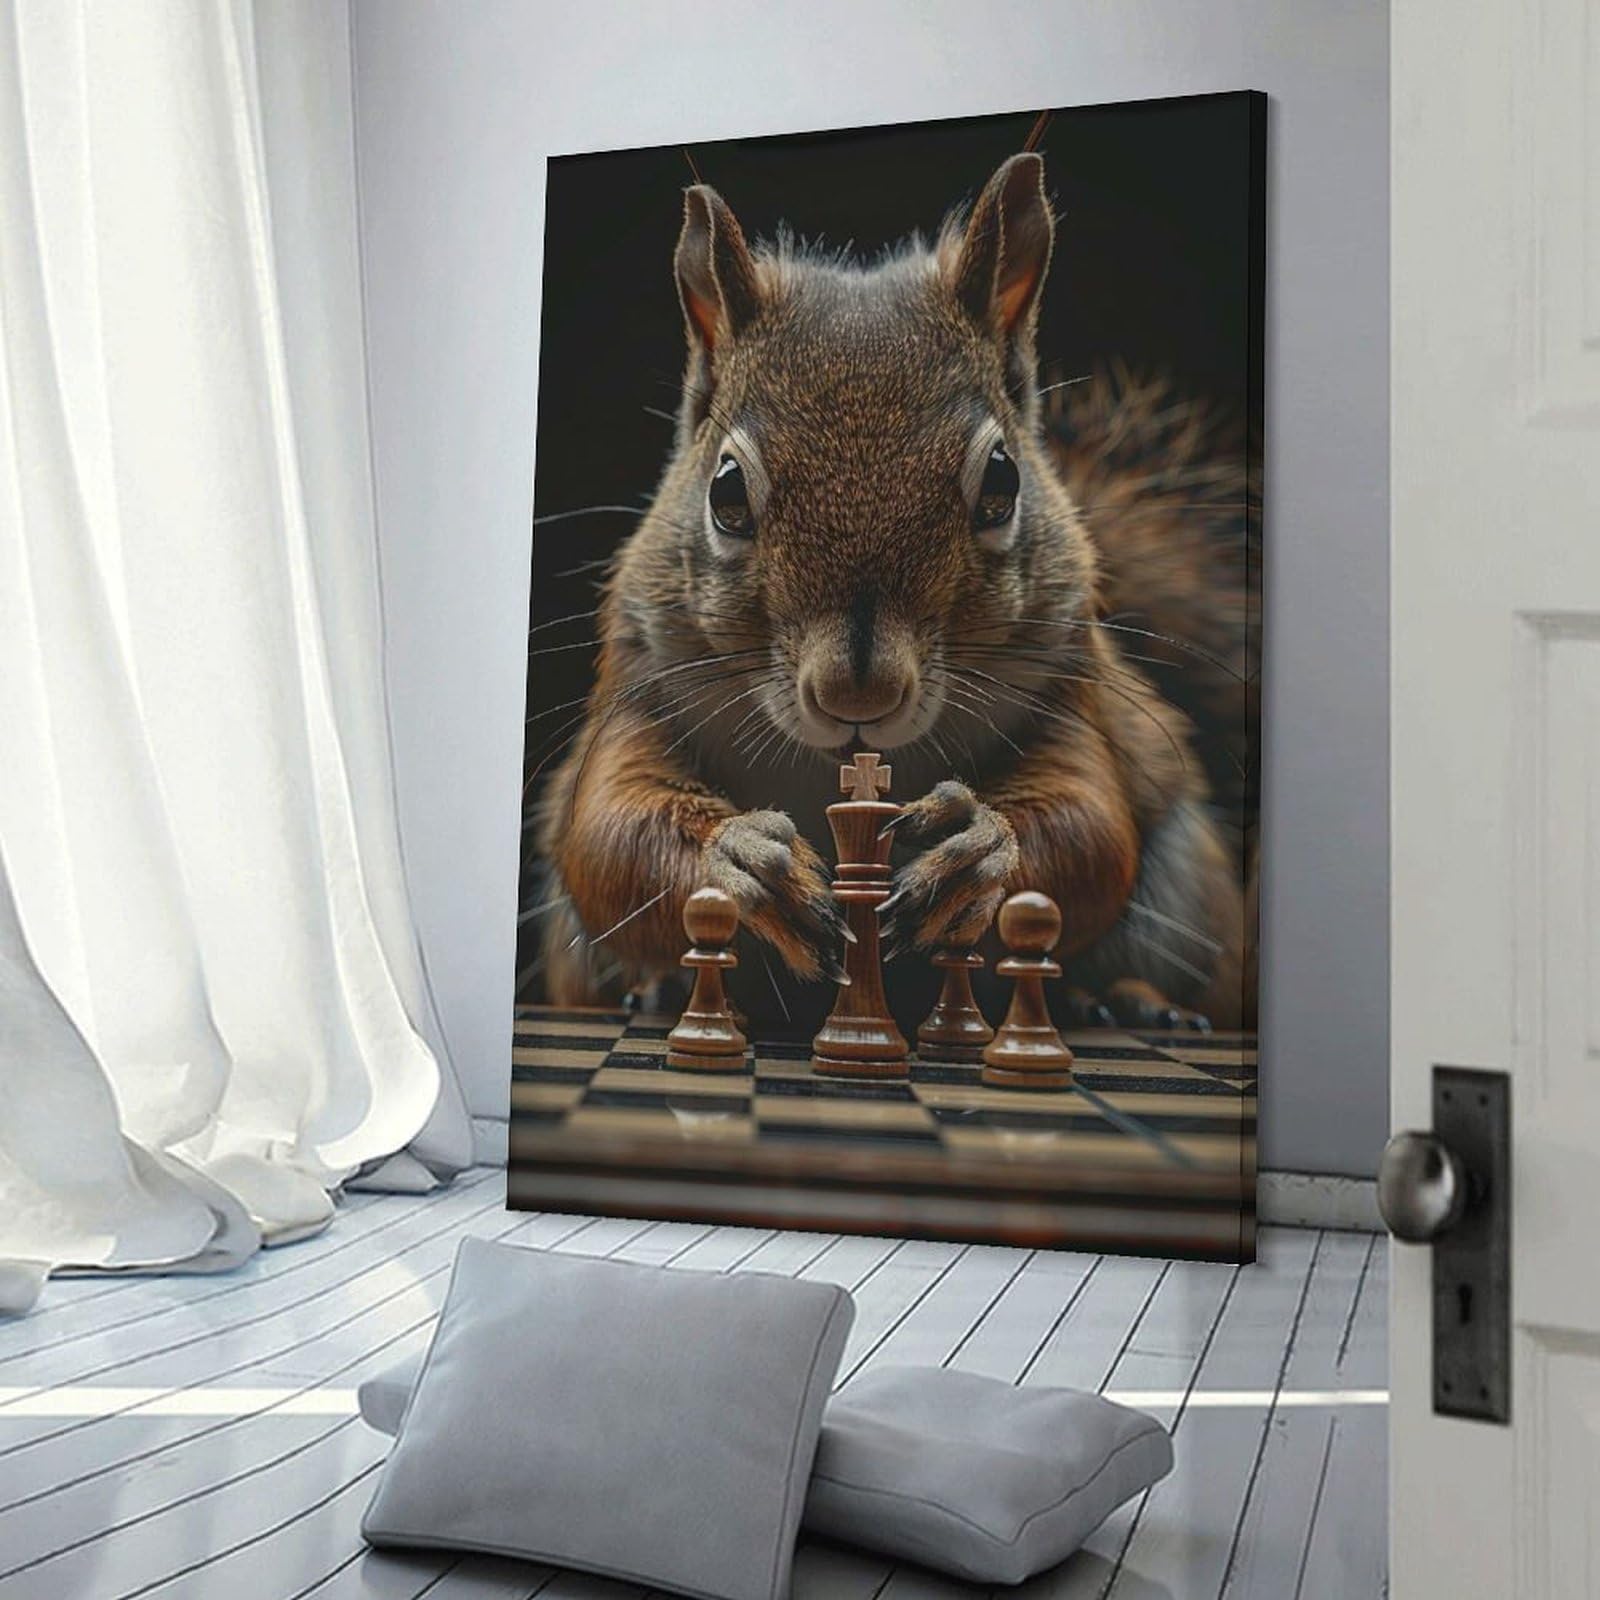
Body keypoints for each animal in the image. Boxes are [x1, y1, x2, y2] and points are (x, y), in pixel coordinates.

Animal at [534, 152, 1253, 1030]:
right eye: (726, 490)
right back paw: (659, 988)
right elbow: (609, 832)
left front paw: (979, 847)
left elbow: (1089, 826)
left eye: (1003, 480)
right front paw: (744, 861)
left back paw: (1128, 1000)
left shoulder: (1069, 693)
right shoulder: (638, 691)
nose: (858, 694)